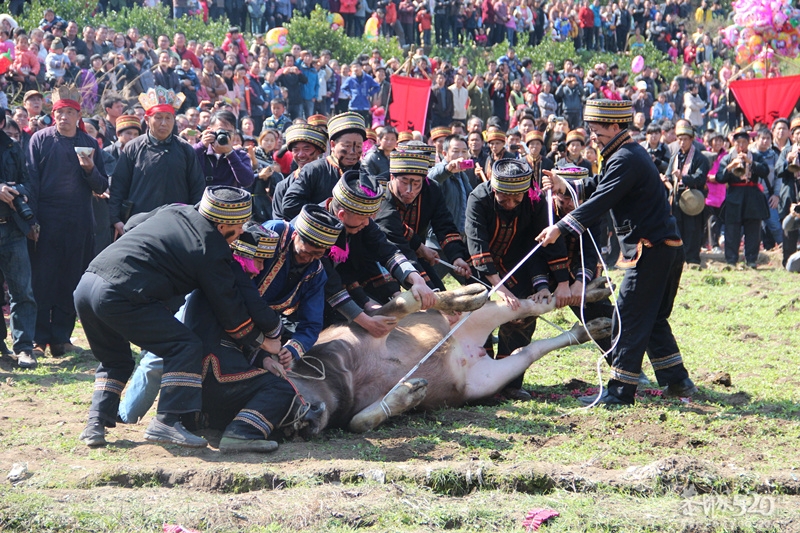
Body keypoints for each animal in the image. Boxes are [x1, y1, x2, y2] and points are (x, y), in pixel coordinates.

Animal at [278, 282, 608, 436]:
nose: (301, 423)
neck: (343, 375)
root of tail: (470, 348)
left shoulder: (371, 325)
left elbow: (406, 301)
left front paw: (464, 294)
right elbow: (359, 422)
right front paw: (409, 393)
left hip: (493, 312)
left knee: (532, 305)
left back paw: (592, 292)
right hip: (486, 380)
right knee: (527, 352)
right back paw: (589, 328)